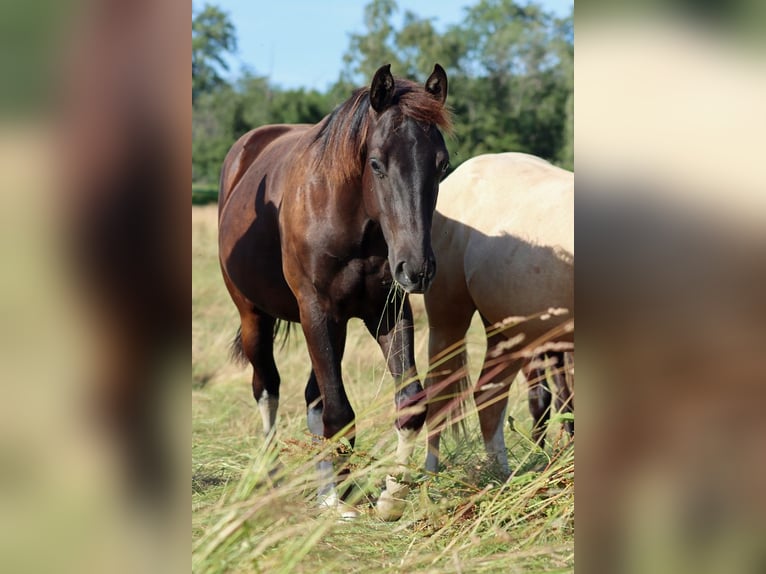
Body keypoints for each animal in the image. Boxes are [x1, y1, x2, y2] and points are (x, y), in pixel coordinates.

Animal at [218, 64, 451, 520]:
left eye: (442, 164)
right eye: (376, 163)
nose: (416, 270)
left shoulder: (388, 312)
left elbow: (410, 402)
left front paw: (389, 496)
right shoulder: (317, 312)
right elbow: (340, 411)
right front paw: (343, 501)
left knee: (313, 398)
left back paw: (324, 485)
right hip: (254, 316)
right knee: (266, 386)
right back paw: (273, 477)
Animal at [423, 152, 574, 475]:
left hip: (508, 333)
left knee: (489, 396)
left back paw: (499, 477)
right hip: (447, 320)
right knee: (439, 395)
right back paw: (427, 474)